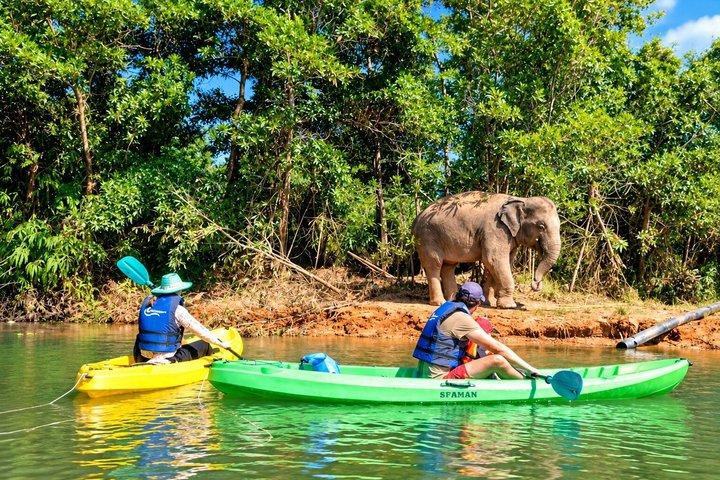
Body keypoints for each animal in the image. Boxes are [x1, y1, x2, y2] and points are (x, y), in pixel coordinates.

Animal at [412, 191, 561, 308]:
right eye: (541, 226)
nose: (536, 284)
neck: (521, 199)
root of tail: (416, 219)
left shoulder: (509, 235)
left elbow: (496, 263)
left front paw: (488, 303)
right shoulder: (496, 229)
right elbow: (493, 259)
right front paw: (509, 306)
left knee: (448, 266)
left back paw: (453, 301)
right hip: (427, 237)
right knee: (434, 264)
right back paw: (439, 303)